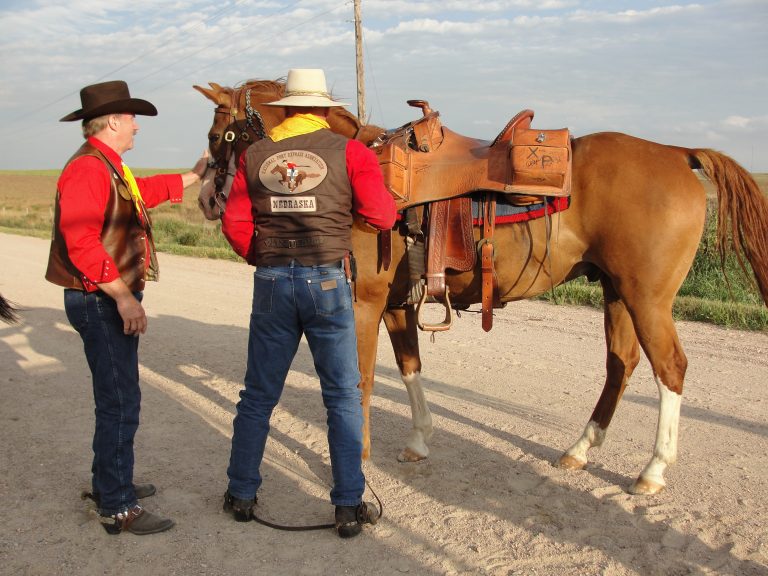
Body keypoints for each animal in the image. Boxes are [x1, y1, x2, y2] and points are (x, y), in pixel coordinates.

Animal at [194, 80, 768, 496]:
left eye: (217, 136)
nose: (204, 198)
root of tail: (676, 152)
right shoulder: (397, 304)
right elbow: (409, 367)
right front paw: (419, 441)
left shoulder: (363, 302)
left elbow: (359, 380)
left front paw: (358, 459)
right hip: (617, 292)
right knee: (620, 365)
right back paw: (581, 449)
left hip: (647, 298)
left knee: (670, 369)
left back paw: (652, 470)